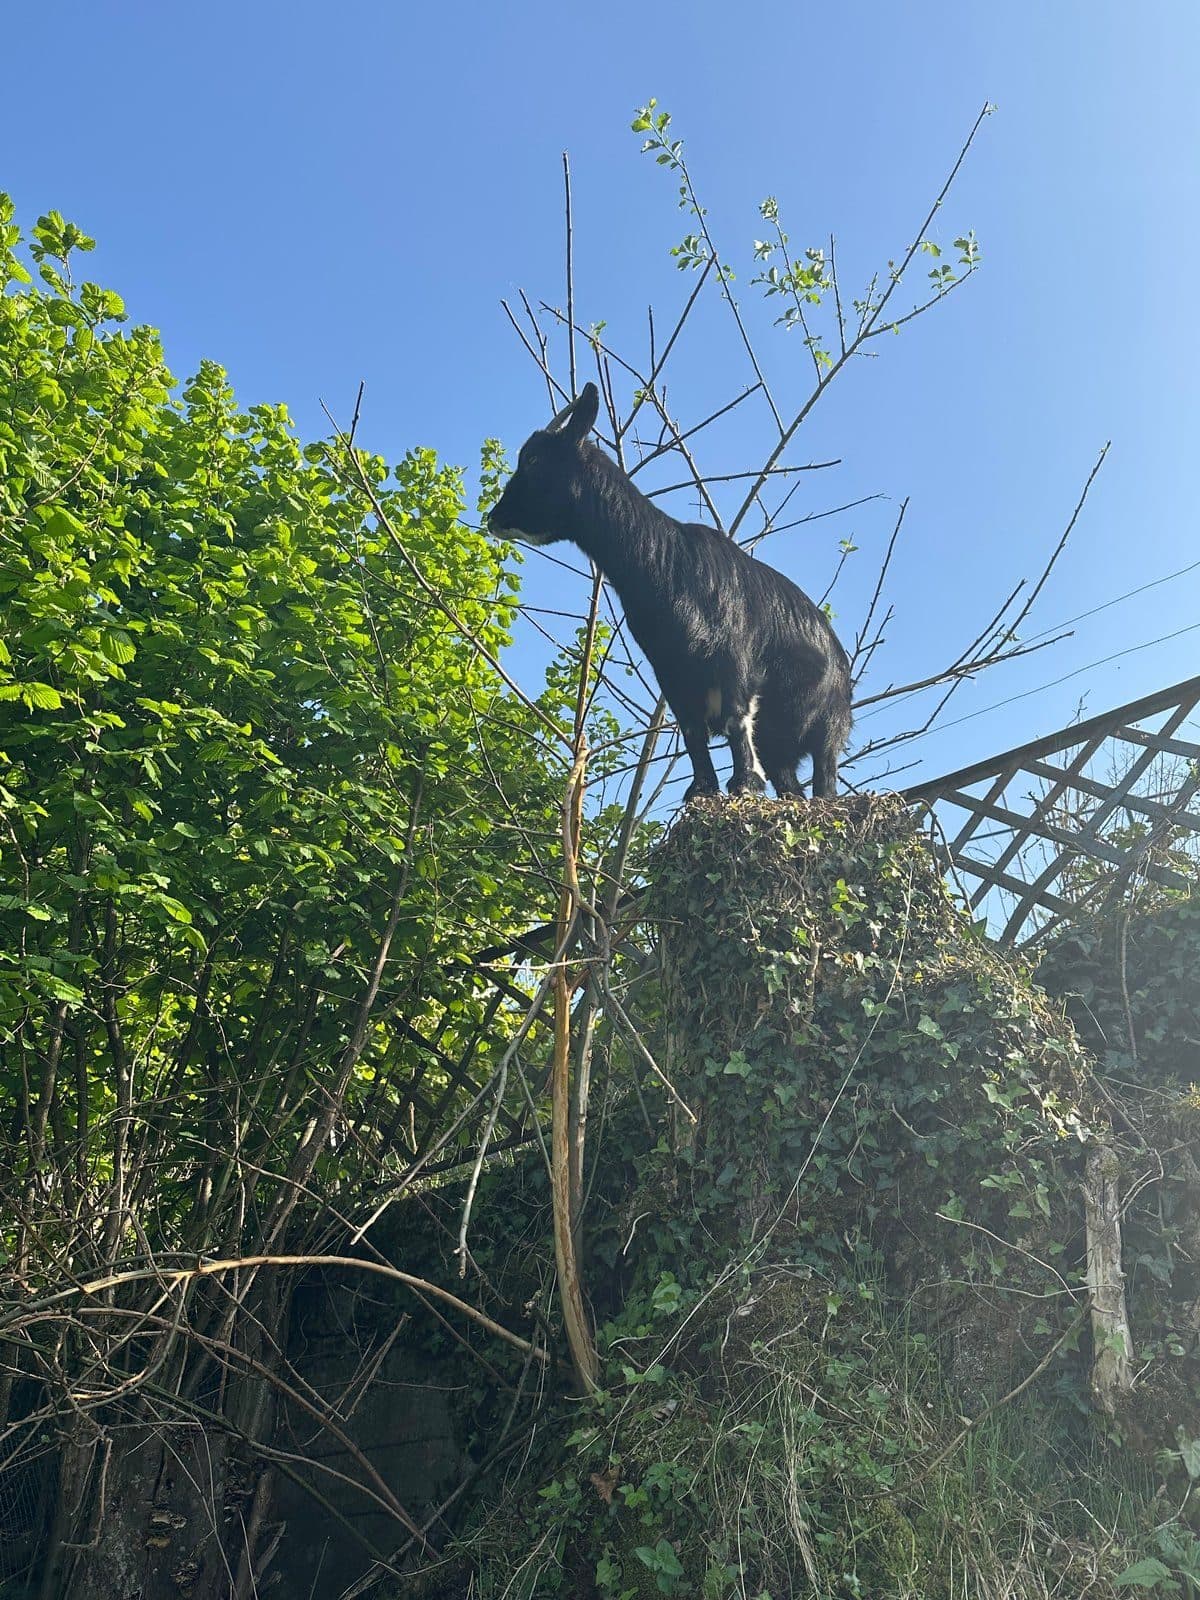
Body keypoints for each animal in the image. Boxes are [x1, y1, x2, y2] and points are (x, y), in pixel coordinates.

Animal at [488, 383, 852, 800]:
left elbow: (735, 718)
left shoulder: (735, 659)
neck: (669, 565)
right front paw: (702, 790)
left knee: (825, 781)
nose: (494, 518)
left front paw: (744, 782)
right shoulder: (671, 672)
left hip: (827, 725)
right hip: (781, 744)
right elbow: (692, 731)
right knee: (791, 786)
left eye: (532, 459)